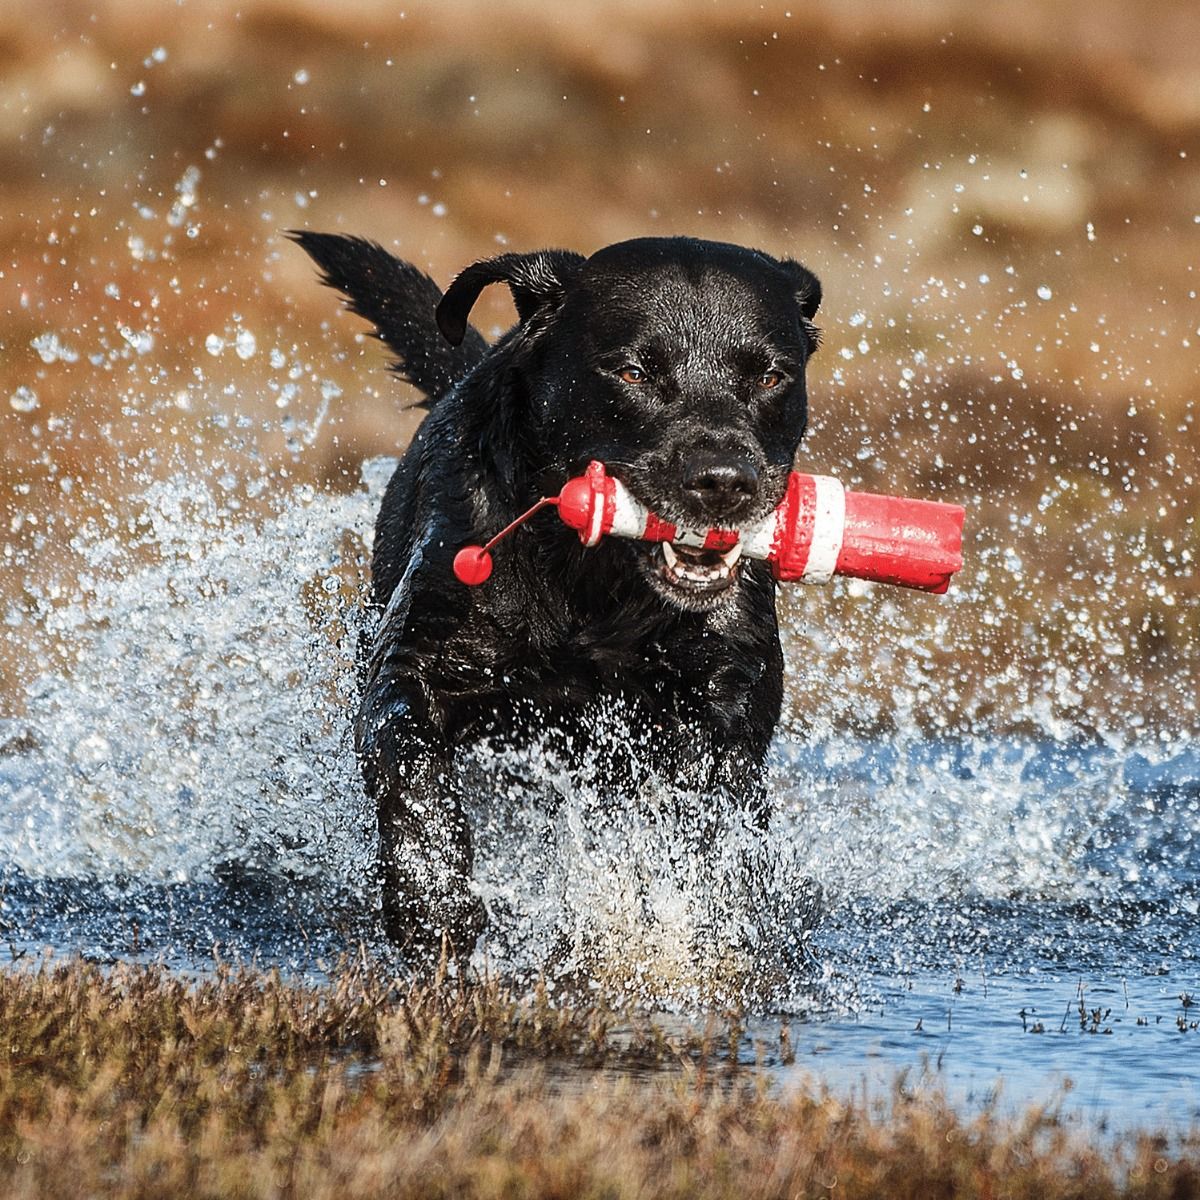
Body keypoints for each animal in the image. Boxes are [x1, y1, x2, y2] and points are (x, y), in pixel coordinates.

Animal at [290, 234, 820, 960]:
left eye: (770, 377)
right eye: (633, 372)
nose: (724, 481)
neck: (593, 586)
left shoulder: (723, 695)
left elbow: (709, 809)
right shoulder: (414, 666)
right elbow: (413, 768)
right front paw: (433, 903)